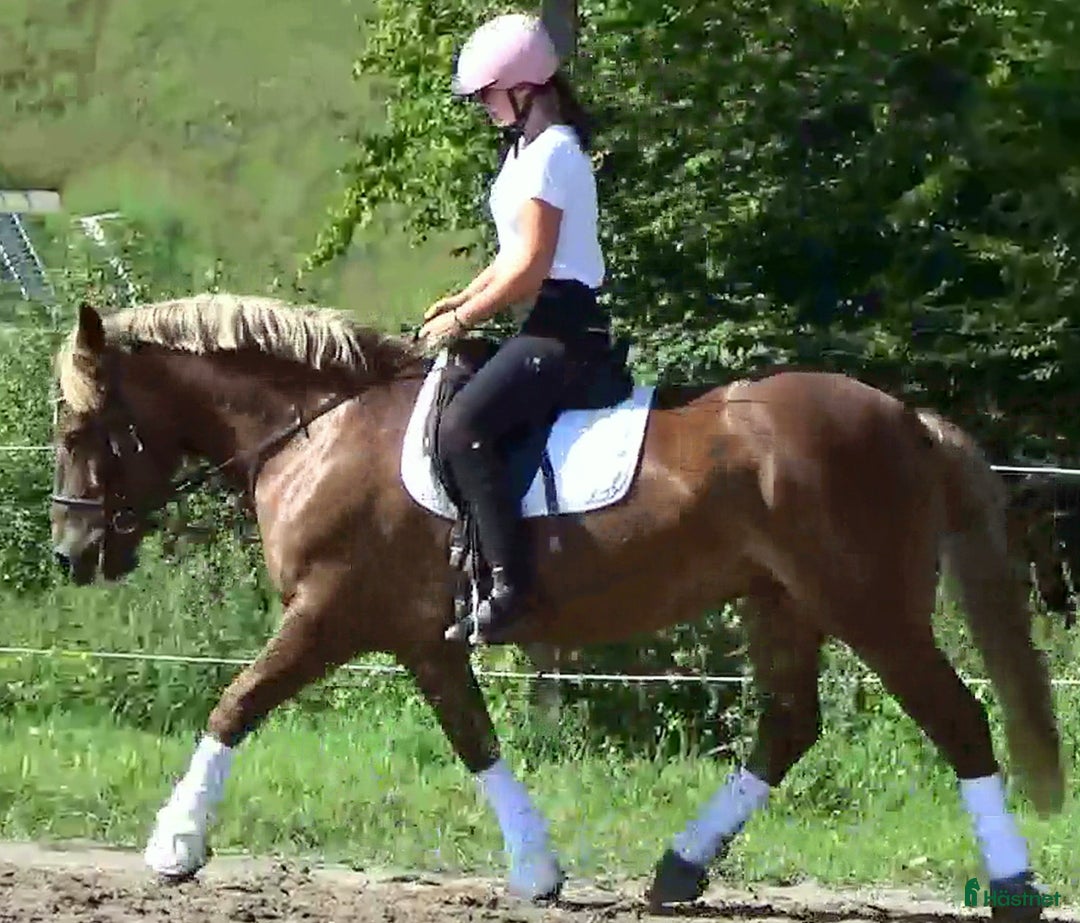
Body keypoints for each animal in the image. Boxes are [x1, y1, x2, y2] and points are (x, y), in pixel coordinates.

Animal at [49, 293, 1064, 918]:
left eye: (78, 428)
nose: (71, 553)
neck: (320, 431)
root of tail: (906, 419)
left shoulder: (327, 614)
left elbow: (235, 703)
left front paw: (174, 844)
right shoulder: (424, 638)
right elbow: (475, 740)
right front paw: (537, 868)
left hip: (868, 604)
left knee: (956, 718)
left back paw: (1013, 879)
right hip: (781, 602)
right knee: (788, 725)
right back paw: (680, 866)